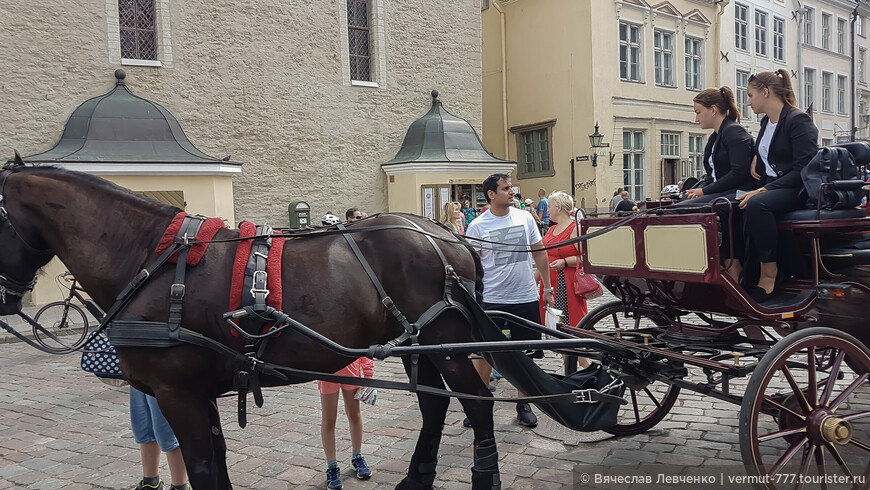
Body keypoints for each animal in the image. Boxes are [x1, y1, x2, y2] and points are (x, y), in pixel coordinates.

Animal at [0, 159, 504, 488]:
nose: (5, 297)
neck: (152, 261)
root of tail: (445, 235)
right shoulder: (198, 392)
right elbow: (217, 460)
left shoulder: (176, 392)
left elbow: (202, 467)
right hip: (415, 344)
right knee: (435, 406)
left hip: (446, 342)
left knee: (477, 404)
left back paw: (485, 475)